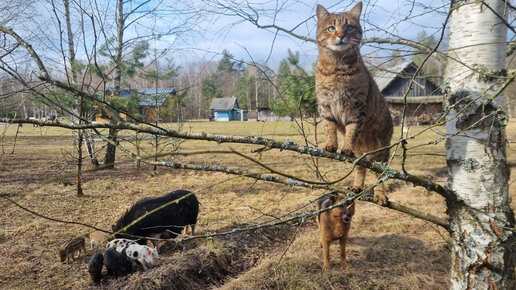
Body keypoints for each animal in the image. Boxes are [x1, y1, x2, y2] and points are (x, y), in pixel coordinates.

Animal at [316, 2, 394, 206]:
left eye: (350, 27)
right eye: (331, 28)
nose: (341, 35)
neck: (337, 68)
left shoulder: (356, 107)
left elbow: (351, 132)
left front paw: (346, 147)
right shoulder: (325, 106)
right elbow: (329, 128)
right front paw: (331, 144)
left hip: (380, 152)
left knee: (379, 174)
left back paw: (380, 195)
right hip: (362, 155)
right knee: (361, 169)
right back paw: (358, 186)